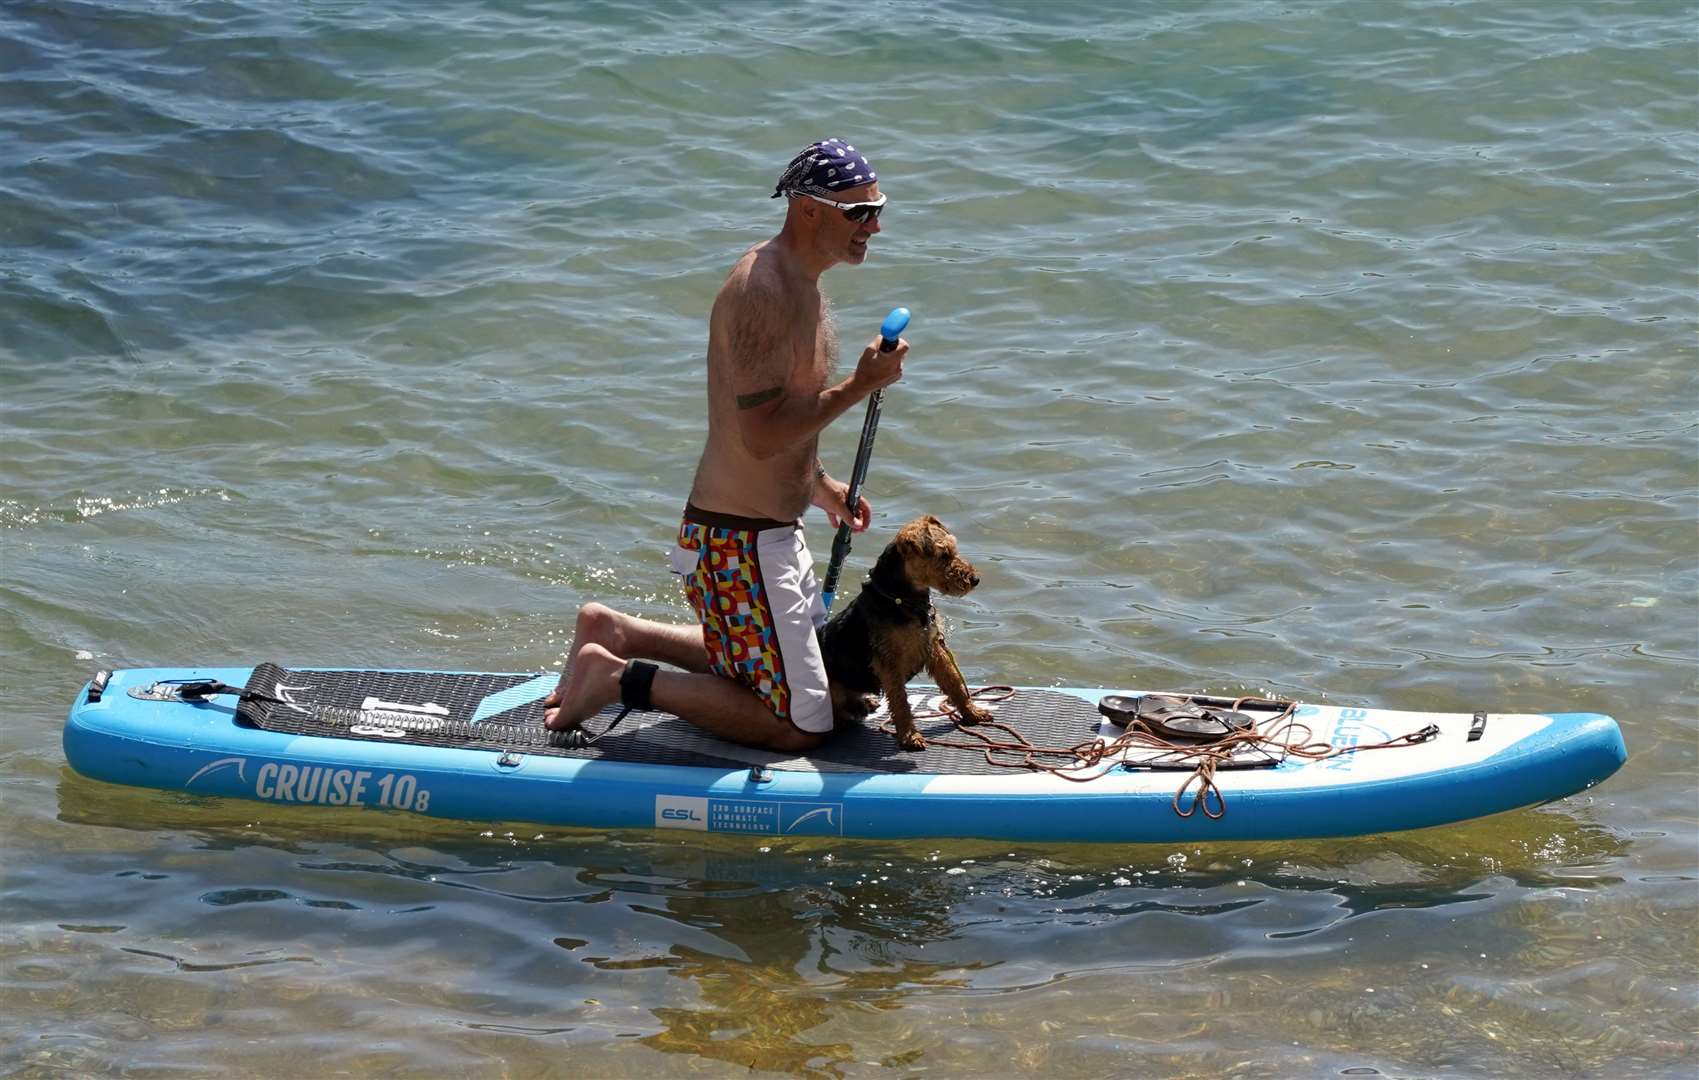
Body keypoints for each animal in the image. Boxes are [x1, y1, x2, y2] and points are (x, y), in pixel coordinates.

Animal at [815, 516, 992, 750]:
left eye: (953, 549)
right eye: (944, 555)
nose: (975, 579)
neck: (902, 600)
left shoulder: (935, 648)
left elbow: (955, 684)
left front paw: (973, 713)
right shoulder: (889, 662)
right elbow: (900, 701)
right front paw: (910, 736)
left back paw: (865, 703)